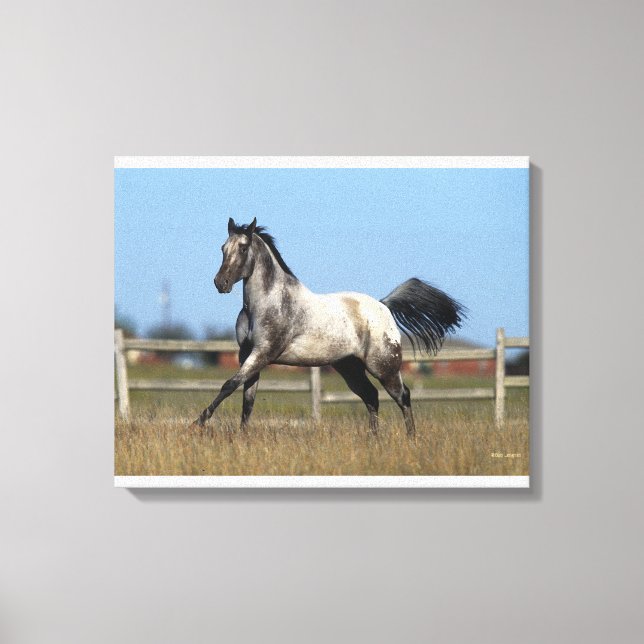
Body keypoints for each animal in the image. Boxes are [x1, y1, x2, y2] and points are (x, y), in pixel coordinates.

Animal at [192, 217, 465, 436]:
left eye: (243, 247)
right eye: (223, 248)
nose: (220, 282)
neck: (267, 303)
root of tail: (383, 305)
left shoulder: (263, 353)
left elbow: (229, 385)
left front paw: (198, 423)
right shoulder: (247, 354)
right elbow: (247, 400)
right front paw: (242, 436)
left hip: (384, 367)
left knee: (402, 396)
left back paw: (411, 438)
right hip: (349, 368)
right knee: (371, 397)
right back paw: (373, 439)